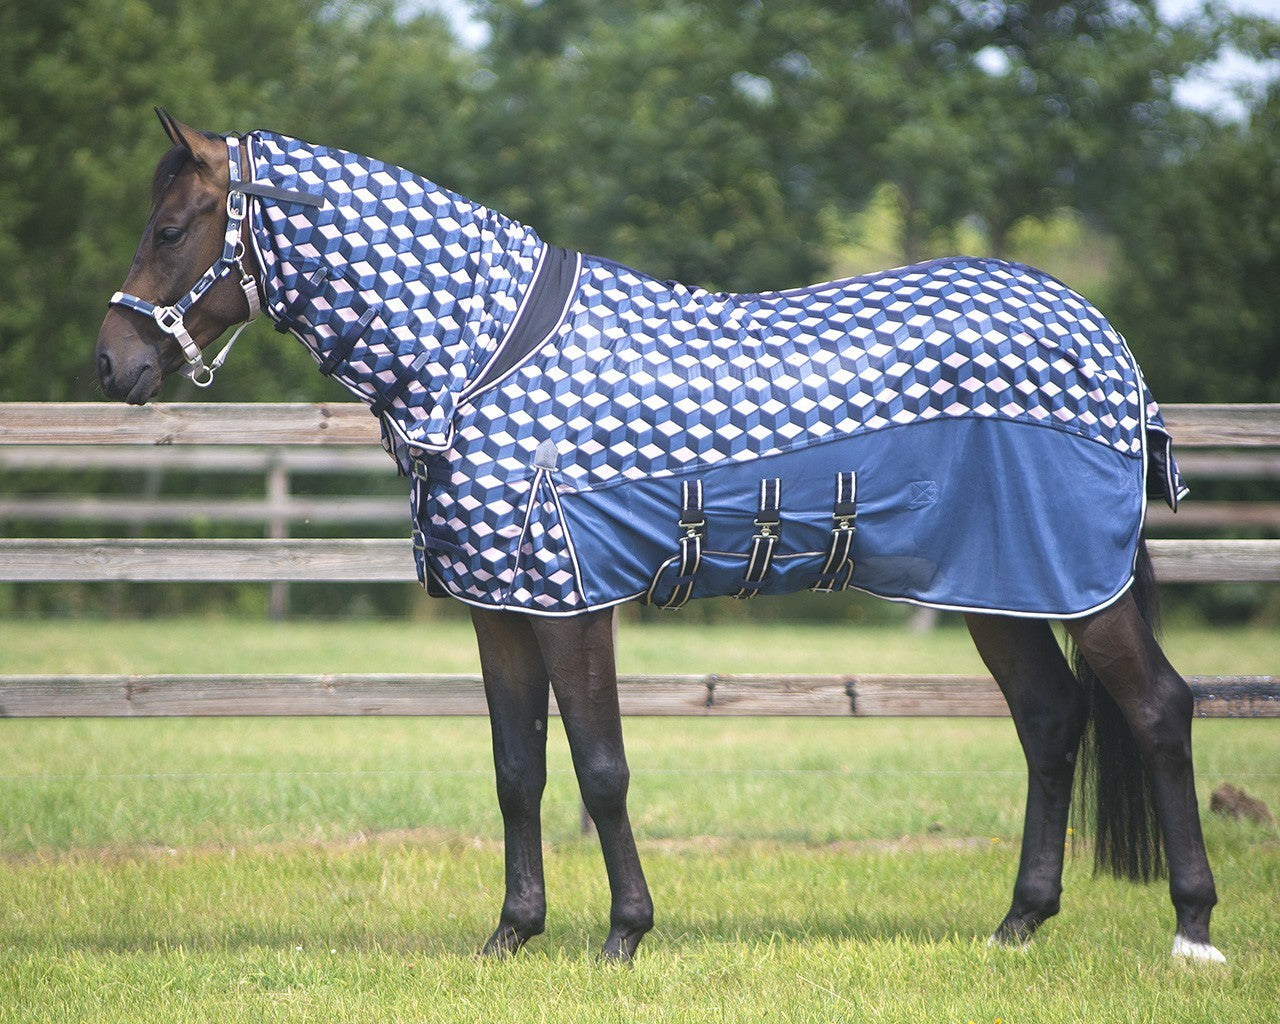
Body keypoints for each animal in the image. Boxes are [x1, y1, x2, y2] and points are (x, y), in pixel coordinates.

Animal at [95, 110, 1224, 964]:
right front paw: (511, 935)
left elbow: (601, 768)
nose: (112, 365)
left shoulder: (570, 599)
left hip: (1072, 584)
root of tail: (1104, 343)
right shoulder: (502, 609)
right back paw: (1018, 922)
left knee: (1157, 708)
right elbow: (517, 771)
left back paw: (1192, 931)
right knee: (1049, 719)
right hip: (999, 589)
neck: (481, 354)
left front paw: (624, 935)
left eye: (172, 227)